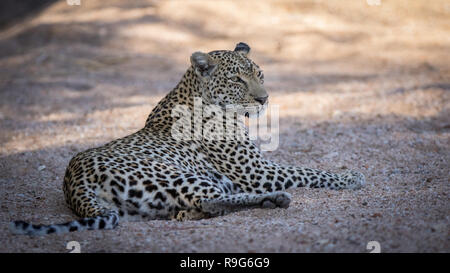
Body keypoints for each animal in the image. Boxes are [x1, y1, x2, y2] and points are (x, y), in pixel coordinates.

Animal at [8, 41, 364, 235]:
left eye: (260, 75)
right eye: (237, 79)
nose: (264, 99)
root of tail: (74, 182)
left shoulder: (257, 169)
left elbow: (307, 169)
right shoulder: (257, 172)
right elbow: (310, 172)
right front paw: (351, 177)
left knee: (191, 210)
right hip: (177, 175)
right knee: (211, 200)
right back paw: (274, 199)